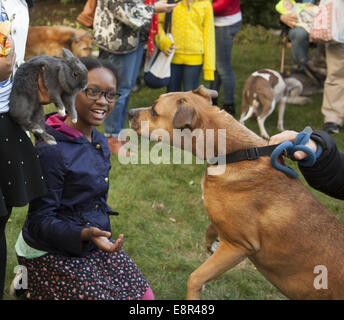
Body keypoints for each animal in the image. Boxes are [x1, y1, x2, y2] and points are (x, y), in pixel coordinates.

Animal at [128, 85, 344, 300]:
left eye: (154, 110)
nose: (129, 112)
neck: (234, 153)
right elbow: (211, 231)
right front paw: (210, 243)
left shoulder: (238, 246)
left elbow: (195, 278)